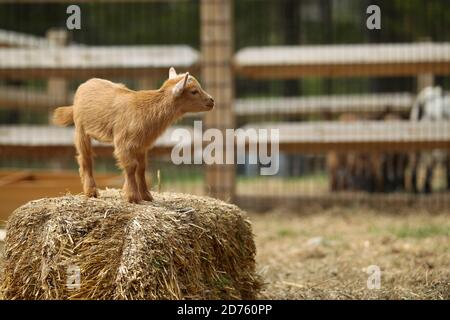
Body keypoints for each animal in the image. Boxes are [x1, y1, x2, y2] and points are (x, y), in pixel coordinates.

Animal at [52, 67, 214, 202]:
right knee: (85, 158)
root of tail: (85, 84)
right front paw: (133, 197)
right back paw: (91, 192)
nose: (212, 101)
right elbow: (131, 166)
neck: (146, 109)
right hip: (81, 129)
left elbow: (141, 168)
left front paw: (146, 196)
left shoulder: (141, 145)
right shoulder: (123, 143)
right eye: (194, 91)